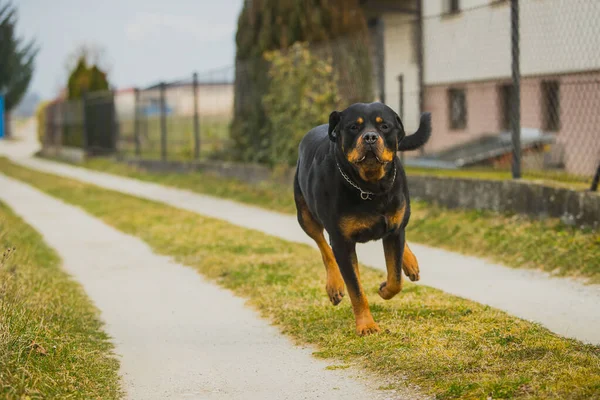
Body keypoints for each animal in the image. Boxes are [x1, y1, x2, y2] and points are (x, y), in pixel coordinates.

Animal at [292, 102, 428, 334]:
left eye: (384, 126)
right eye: (354, 127)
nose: (370, 137)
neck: (370, 186)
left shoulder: (394, 230)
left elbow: (395, 278)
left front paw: (384, 289)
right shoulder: (342, 241)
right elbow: (355, 288)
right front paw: (366, 325)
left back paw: (410, 263)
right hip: (305, 215)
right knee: (323, 246)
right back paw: (334, 286)